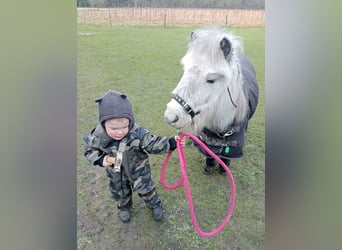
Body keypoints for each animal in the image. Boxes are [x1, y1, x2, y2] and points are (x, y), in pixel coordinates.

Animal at [164, 26, 258, 174]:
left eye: (211, 79)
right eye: (185, 70)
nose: (171, 116)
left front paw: (224, 167)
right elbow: (209, 151)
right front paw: (209, 165)